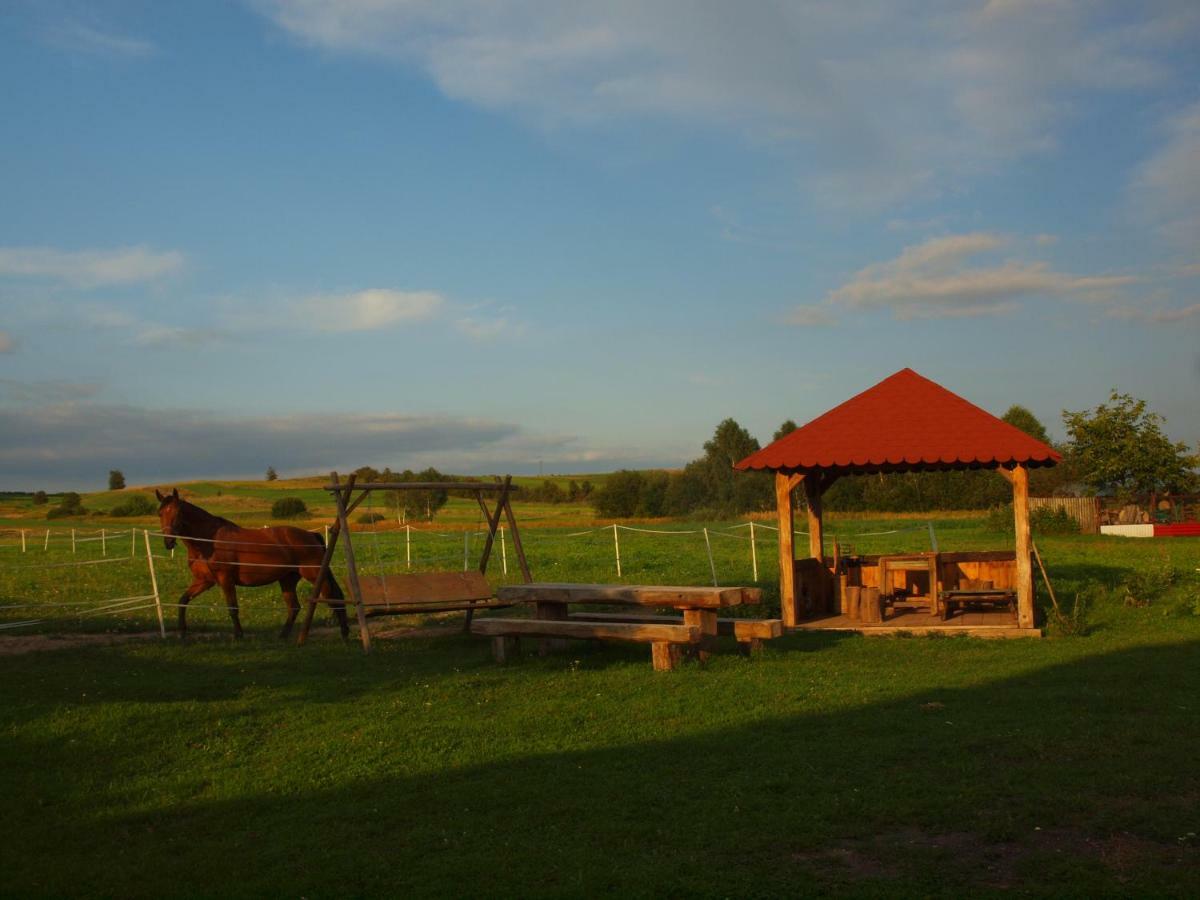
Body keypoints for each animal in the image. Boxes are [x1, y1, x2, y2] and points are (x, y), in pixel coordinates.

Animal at [154, 489, 348, 638]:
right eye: (160, 513)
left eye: (177, 513)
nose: (168, 542)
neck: (207, 541)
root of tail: (311, 535)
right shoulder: (204, 581)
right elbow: (182, 601)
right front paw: (182, 632)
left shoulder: (225, 579)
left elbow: (232, 608)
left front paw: (239, 635)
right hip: (287, 580)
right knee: (294, 607)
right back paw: (283, 636)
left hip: (315, 576)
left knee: (334, 599)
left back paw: (344, 634)